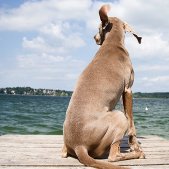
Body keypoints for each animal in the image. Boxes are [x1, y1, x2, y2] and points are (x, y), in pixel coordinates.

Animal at [62, 4, 145, 169]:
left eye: (98, 28)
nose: (94, 37)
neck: (113, 43)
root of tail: (79, 145)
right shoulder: (128, 89)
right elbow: (131, 121)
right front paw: (134, 145)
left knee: (63, 153)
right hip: (118, 116)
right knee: (113, 156)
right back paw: (137, 154)